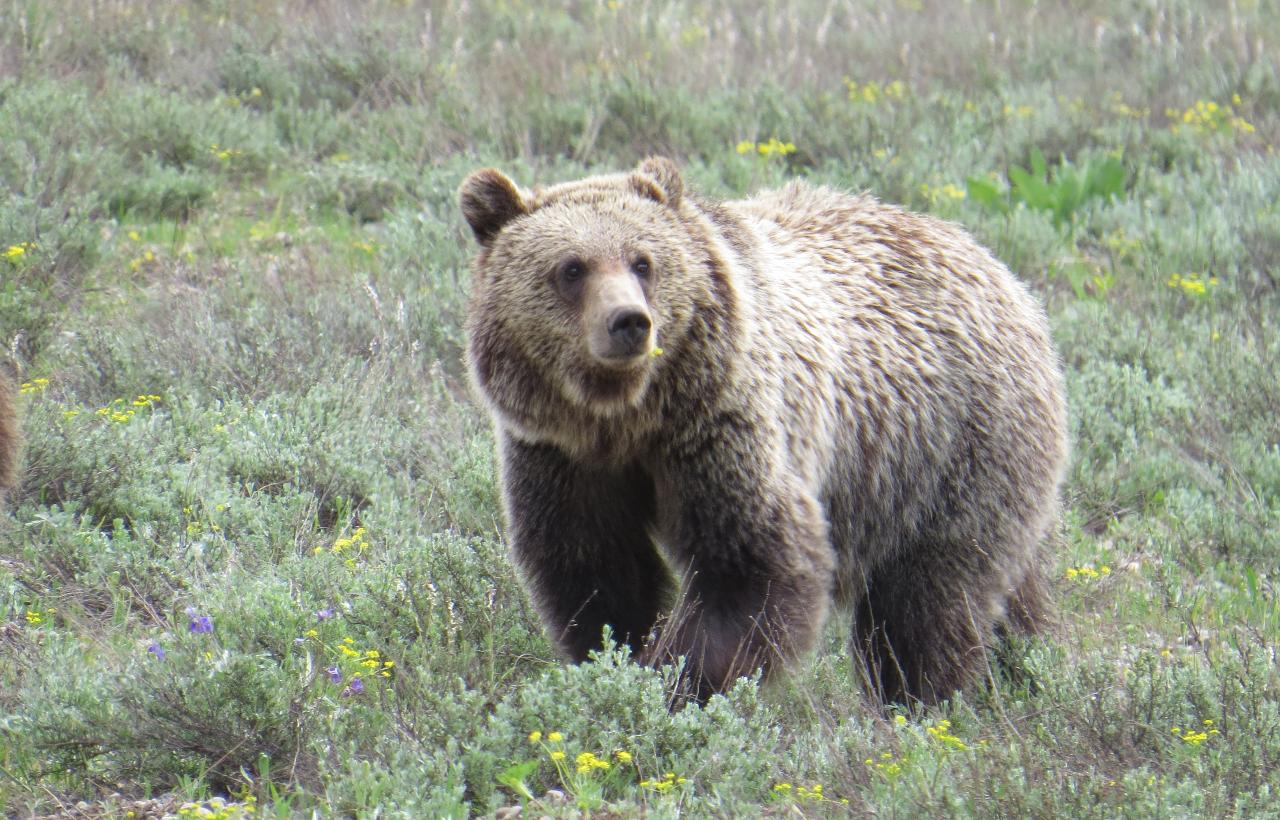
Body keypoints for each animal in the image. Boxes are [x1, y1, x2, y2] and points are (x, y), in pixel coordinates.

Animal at [460, 158, 1070, 706]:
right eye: (571, 268)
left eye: (642, 261)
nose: (629, 322)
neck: (629, 417)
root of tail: (1001, 271)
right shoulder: (561, 455)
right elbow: (594, 567)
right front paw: (617, 660)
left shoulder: (721, 426)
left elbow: (750, 565)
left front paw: (678, 685)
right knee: (1012, 588)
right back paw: (1026, 664)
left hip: (945, 449)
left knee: (928, 598)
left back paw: (916, 701)